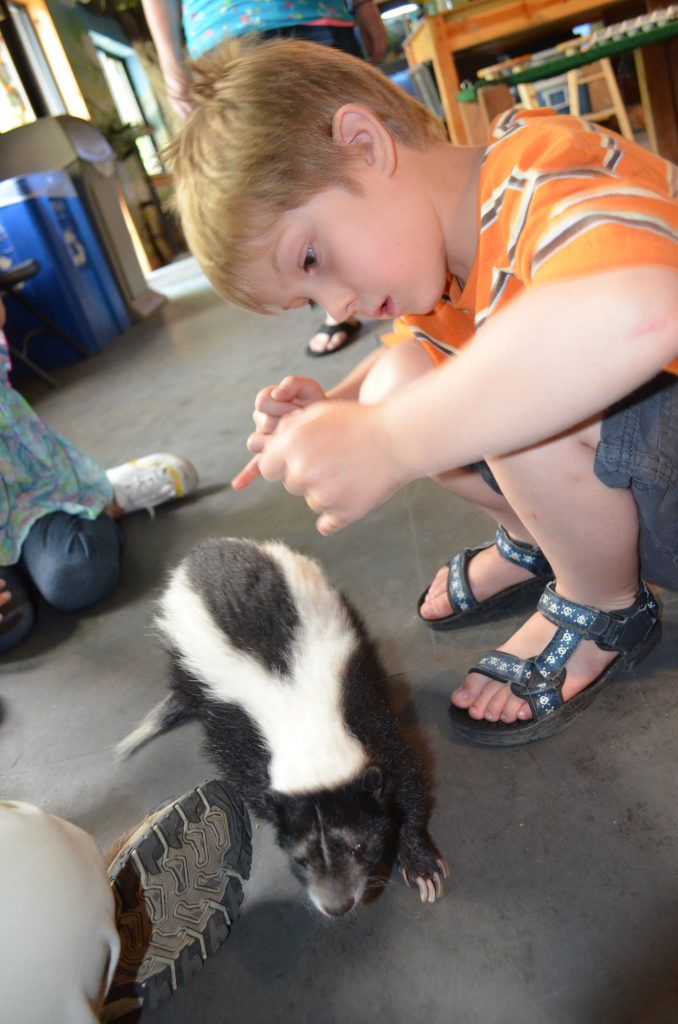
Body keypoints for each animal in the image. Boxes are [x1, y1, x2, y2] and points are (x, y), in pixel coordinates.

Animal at [119, 540, 448, 917]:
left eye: (359, 845)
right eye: (300, 858)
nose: (337, 905)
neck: (303, 715)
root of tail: (203, 551)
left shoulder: (361, 703)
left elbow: (406, 775)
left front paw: (421, 864)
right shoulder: (235, 731)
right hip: (185, 661)